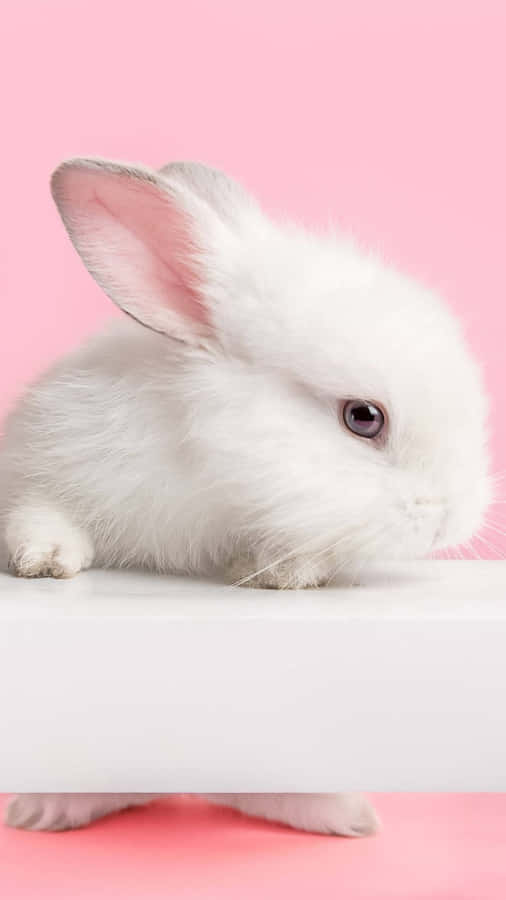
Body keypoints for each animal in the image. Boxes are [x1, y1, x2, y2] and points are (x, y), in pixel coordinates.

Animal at [0, 157, 491, 835]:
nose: (453, 518)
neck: (214, 481)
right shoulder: (38, 463)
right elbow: (36, 515)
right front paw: (46, 562)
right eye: (363, 418)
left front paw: (277, 571)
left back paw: (345, 816)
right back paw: (46, 809)